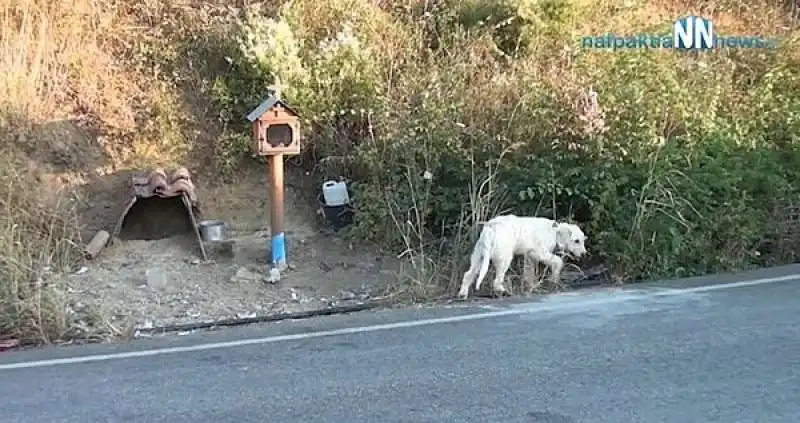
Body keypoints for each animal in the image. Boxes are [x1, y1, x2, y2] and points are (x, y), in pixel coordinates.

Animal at [456, 217, 588, 300]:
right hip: (504, 258)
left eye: (583, 240)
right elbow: (558, 261)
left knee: (468, 274)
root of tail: (490, 228)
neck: (554, 231)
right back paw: (503, 291)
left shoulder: (529, 256)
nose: (584, 254)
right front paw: (554, 280)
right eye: (576, 241)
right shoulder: (539, 252)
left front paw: (531, 287)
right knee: (497, 281)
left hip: (479, 256)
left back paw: (463, 294)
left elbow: (529, 273)